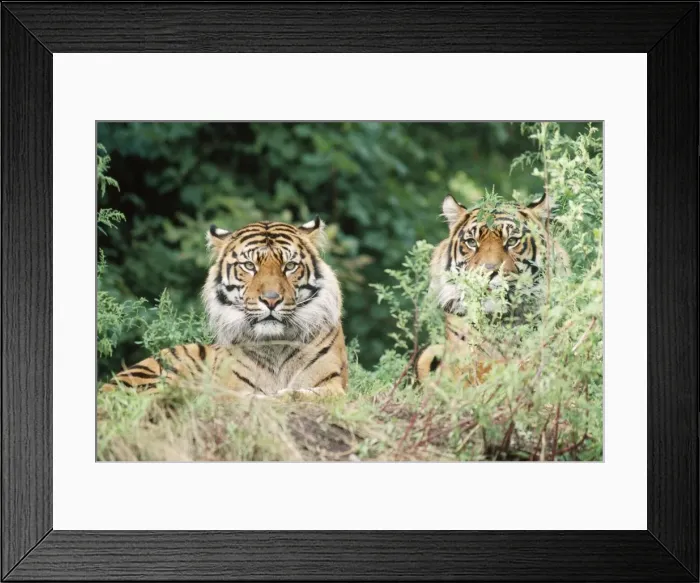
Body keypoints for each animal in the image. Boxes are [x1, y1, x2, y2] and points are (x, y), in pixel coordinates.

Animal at [101, 217, 348, 400]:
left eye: (290, 266)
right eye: (249, 266)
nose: (271, 300)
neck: (274, 344)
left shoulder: (333, 384)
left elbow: (307, 394)